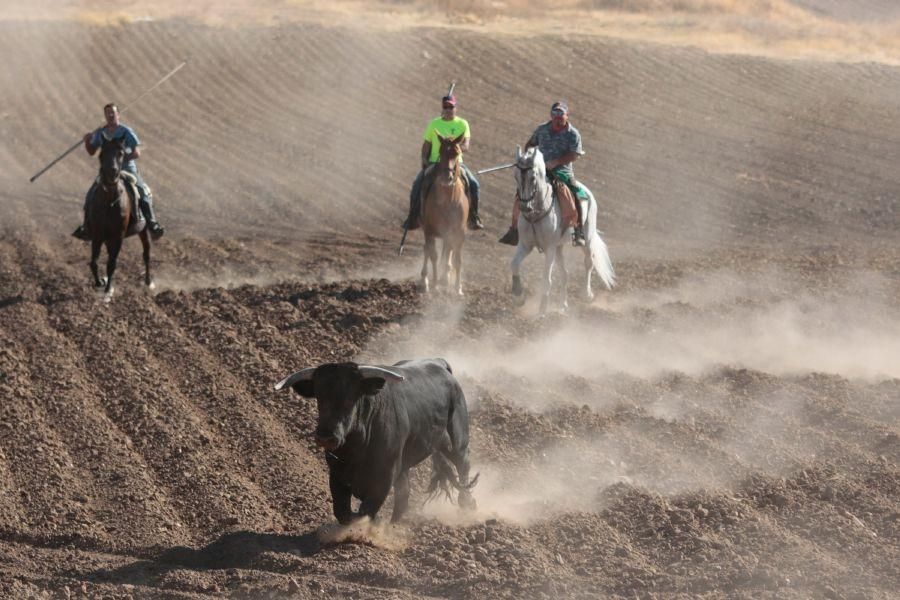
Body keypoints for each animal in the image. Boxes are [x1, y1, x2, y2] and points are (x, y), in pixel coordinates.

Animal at [88, 138, 153, 302]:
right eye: (102, 153)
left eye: (121, 153)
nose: (112, 172)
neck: (109, 202)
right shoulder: (97, 234)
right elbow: (94, 262)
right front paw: (100, 282)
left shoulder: (118, 236)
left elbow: (112, 263)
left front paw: (107, 291)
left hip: (143, 229)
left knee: (147, 253)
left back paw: (148, 282)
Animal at [274, 358, 478, 524]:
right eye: (319, 398)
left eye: (350, 398)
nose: (325, 436)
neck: (356, 448)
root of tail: (439, 363)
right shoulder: (336, 475)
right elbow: (342, 511)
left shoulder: (385, 476)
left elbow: (367, 509)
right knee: (403, 496)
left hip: (456, 441)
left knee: (463, 465)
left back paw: (468, 503)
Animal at [418, 134, 468, 298]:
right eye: (441, 152)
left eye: (457, 153)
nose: (447, 177)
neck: (448, 200)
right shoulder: (429, 231)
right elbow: (433, 255)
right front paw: (433, 285)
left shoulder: (459, 233)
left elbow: (458, 259)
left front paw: (458, 288)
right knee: (427, 250)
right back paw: (426, 281)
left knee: (447, 252)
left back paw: (445, 277)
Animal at [510, 146, 616, 314]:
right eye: (516, 177)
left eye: (533, 177)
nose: (525, 207)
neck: (536, 213)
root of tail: (588, 192)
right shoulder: (526, 245)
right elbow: (514, 265)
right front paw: (519, 295)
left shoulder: (549, 248)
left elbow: (546, 279)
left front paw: (542, 311)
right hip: (559, 247)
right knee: (564, 274)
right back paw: (562, 305)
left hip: (587, 239)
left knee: (589, 262)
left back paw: (587, 294)